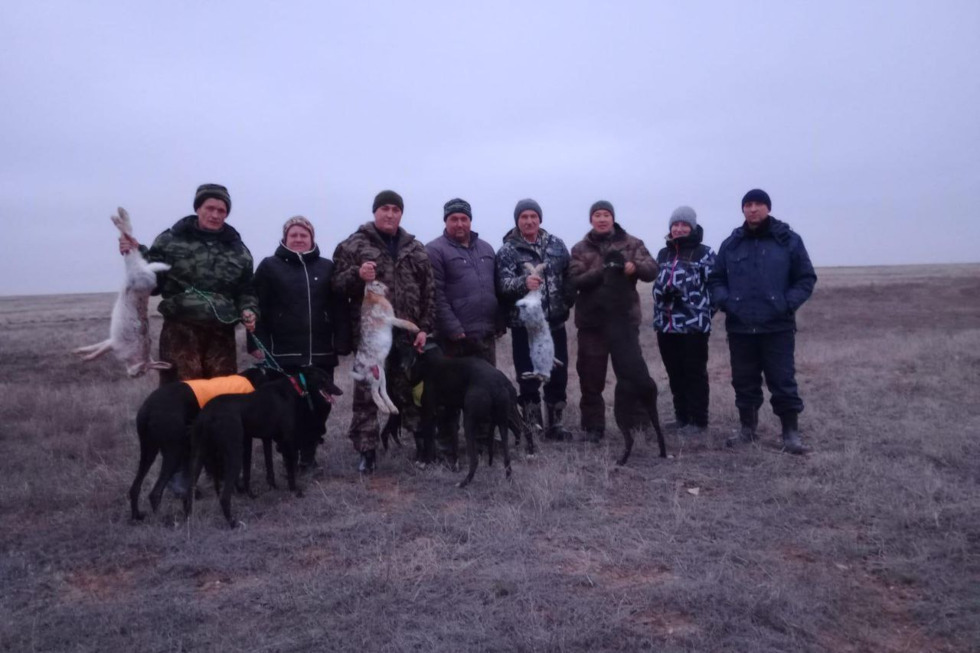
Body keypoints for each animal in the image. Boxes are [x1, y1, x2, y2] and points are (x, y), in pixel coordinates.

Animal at [129, 366, 276, 520]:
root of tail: (147, 410)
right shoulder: (245, 440)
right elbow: (252, 468)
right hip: (173, 452)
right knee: (155, 493)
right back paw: (163, 517)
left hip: (148, 452)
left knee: (135, 487)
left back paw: (137, 515)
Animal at [186, 366, 342, 528]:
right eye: (324, 379)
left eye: (328, 377)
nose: (340, 391)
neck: (293, 388)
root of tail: (207, 415)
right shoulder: (287, 442)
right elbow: (290, 470)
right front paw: (295, 491)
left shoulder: (267, 439)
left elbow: (269, 467)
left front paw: (272, 487)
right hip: (234, 452)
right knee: (224, 496)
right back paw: (233, 523)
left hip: (199, 453)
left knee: (190, 488)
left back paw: (188, 519)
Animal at [596, 247, 668, 466]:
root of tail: (644, 384)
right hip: (651, 406)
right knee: (659, 432)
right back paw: (663, 453)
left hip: (620, 406)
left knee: (629, 438)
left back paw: (621, 460)